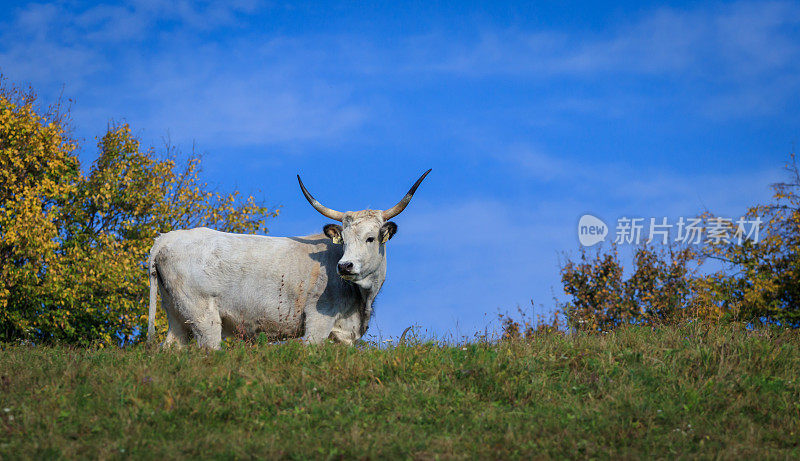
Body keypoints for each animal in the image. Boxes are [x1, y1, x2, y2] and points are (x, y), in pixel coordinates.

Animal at [146, 171, 428, 346]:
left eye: (370, 238)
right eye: (344, 241)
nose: (344, 266)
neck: (362, 301)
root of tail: (165, 239)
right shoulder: (317, 323)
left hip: (178, 317)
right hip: (204, 317)